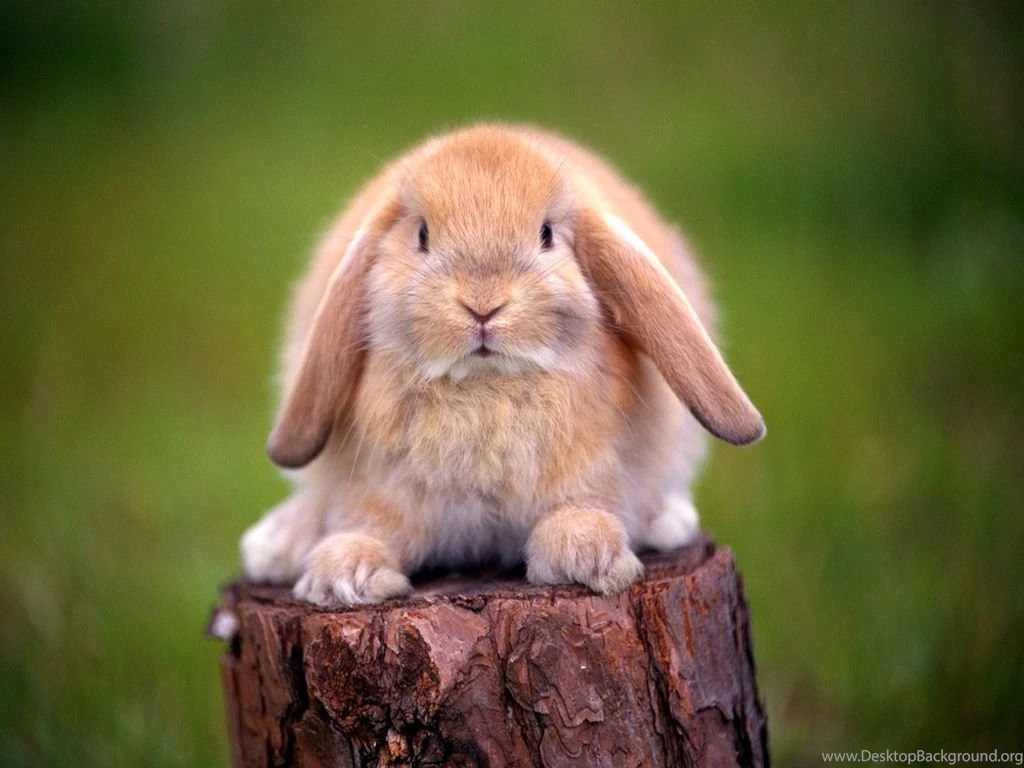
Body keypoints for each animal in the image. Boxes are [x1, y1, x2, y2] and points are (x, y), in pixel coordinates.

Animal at [240, 123, 764, 606]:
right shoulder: (382, 489)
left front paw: (587, 556)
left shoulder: (596, 471)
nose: (482, 304)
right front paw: (342, 576)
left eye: (546, 235)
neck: (486, 387)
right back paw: (278, 544)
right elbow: (370, 525)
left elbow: (582, 508)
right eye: (422, 235)